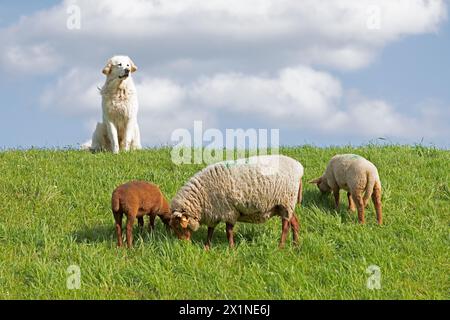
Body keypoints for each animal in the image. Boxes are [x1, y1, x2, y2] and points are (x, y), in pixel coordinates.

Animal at [171, 154, 304, 249]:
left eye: (178, 226)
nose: (183, 245)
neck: (202, 195)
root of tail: (299, 168)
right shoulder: (213, 212)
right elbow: (210, 231)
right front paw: (206, 248)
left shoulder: (229, 211)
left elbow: (228, 231)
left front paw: (231, 249)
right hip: (283, 205)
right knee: (295, 222)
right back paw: (295, 245)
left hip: (286, 201)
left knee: (285, 227)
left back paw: (280, 247)